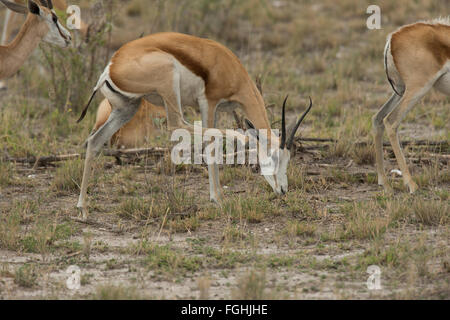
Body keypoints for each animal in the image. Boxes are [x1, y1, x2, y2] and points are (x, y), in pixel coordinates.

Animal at [75, 31, 312, 219]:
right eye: (274, 157)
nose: (283, 190)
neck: (228, 67)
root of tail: (112, 66)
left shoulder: (217, 108)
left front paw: (219, 197)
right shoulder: (209, 103)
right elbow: (212, 143)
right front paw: (219, 200)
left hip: (127, 108)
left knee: (94, 141)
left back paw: (83, 209)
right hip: (168, 85)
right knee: (176, 124)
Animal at [374, 18, 448, 194]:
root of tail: (392, 37)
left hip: (401, 90)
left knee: (378, 118)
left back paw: (385, 184)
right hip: (418, 88)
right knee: (391, 121)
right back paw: (412, 185)